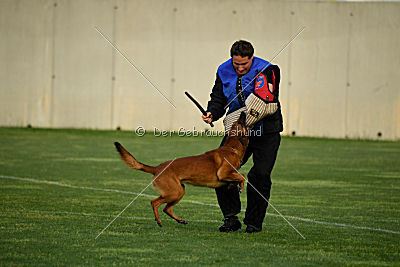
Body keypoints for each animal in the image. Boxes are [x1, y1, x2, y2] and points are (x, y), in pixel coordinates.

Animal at [114, 112, 248, 227]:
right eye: (240, 122)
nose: (243, 112)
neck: (232, 147)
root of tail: (157, 168)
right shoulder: (223, 173)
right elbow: (243, 176)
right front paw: (240, 186)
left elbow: (238, 176)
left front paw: (233, 184)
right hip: (174, 192)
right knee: (154, 202)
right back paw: (158, 221)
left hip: (180, 191)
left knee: (166, 208)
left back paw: (180, 220)